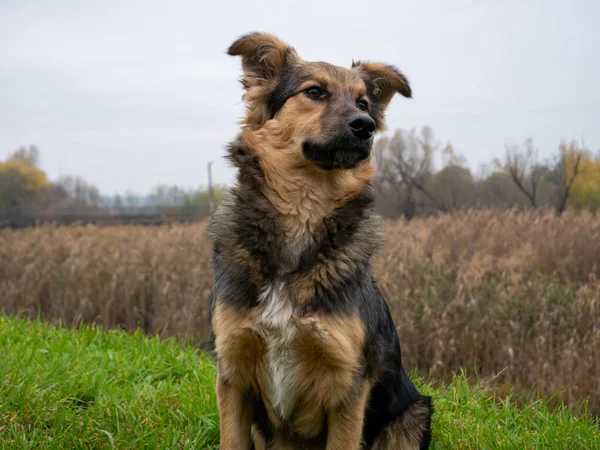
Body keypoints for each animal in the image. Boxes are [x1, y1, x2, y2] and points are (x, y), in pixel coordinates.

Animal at [209, 32, 434, 450]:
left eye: (363, 103)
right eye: (314, 92)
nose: (365, 126)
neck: (304, 210)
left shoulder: (347, 384)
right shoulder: (232, 372)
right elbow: (231, 440)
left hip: (414, 413)